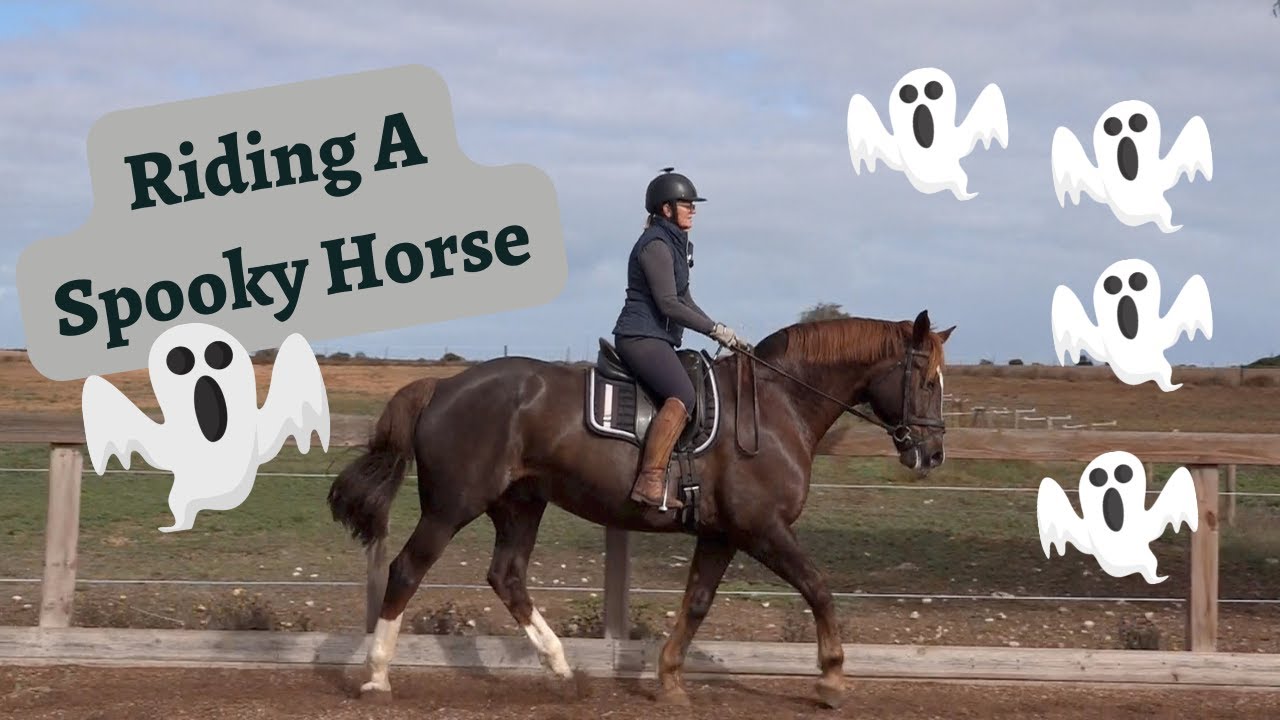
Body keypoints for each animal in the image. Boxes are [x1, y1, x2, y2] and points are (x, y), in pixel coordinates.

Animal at [326, 309, 953, 709]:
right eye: (926, 380)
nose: (932, 454)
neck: (780, 407)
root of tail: (444, 386)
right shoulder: (762, 529)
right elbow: (818, 587)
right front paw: (832, 678)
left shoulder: (722, 535)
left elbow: (696, 603)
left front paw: (670, 678)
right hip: (452, 507)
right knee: (407, 570)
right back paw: (377, 679)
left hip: (520, 505)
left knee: (507, 577)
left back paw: (563, 672)